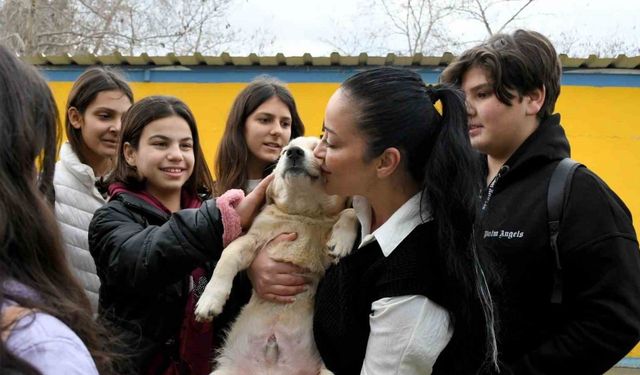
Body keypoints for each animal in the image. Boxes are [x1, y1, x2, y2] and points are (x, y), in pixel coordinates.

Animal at [192, 137, 358, 375]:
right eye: (283, 152)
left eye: (318, 148)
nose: (293, 152)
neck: (303, 213)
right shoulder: (252, 240)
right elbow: (228, 254)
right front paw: (210, 300)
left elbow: (351, 211)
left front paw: (341, 240)